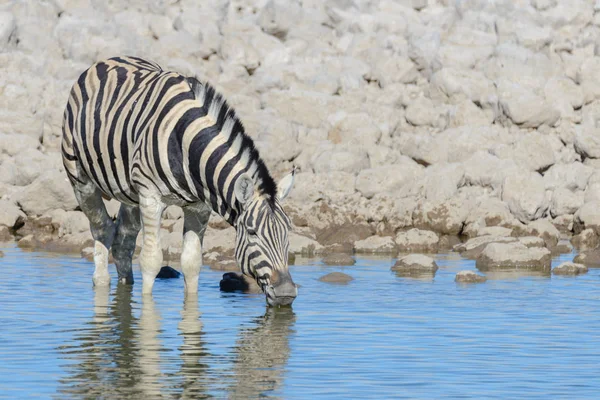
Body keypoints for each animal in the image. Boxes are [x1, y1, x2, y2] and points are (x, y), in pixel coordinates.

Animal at [62, 55, 298, 306]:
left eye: (288, 231)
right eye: (252, 232)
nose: (285, 293)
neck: (188, 146)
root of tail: (110, 59)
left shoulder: (199, 207)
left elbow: (192, 263)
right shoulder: (151, 197)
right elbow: (151, 260)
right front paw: (147, 312)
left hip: (131, 194)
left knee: (123, 241)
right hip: (80, 178)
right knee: (102, 227)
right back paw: (102, 284)